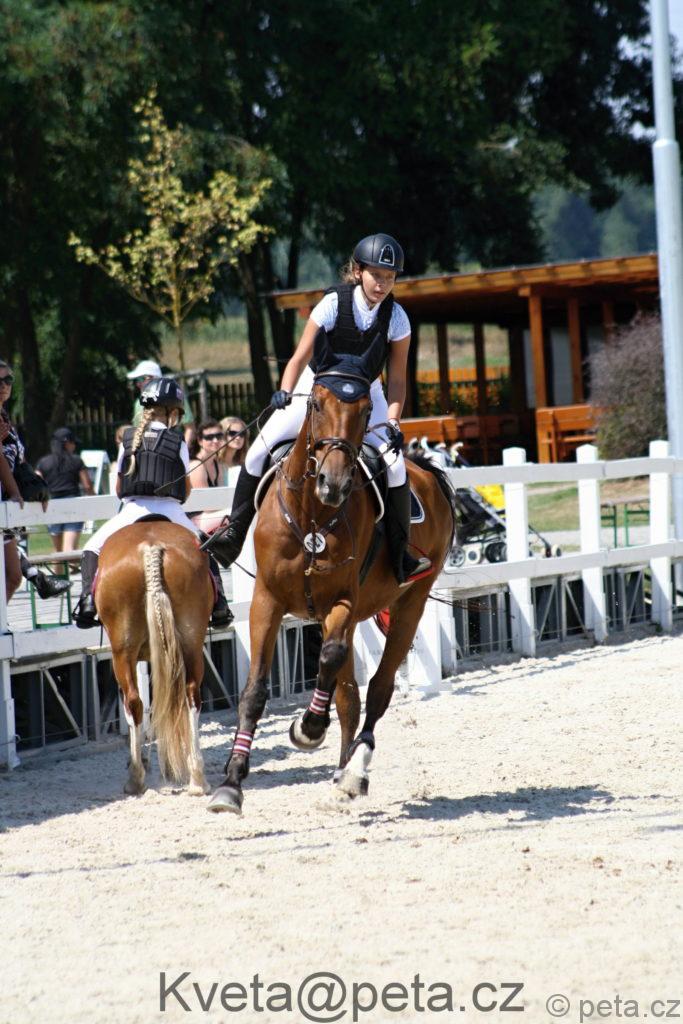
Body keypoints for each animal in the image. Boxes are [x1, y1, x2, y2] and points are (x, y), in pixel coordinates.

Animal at [94, 521, 214, 796]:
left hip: (122, 653)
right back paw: (197, 778)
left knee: (134, 702)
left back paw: (136, 777)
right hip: (191, 643)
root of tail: (151, 547)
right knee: (190, 696)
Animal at [208, 354, 458, 814]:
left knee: (378, 689)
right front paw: (231, 784)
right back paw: (342, 774)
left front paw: (308, 728)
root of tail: (427, 471)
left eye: (364, 412)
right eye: (316, 405)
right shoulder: (267, 601)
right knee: (349, 697)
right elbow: (254, 691)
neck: (312, 516)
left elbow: (331, 658)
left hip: (409, 603)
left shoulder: (343, 601)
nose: (334, 484)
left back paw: (355, 770)